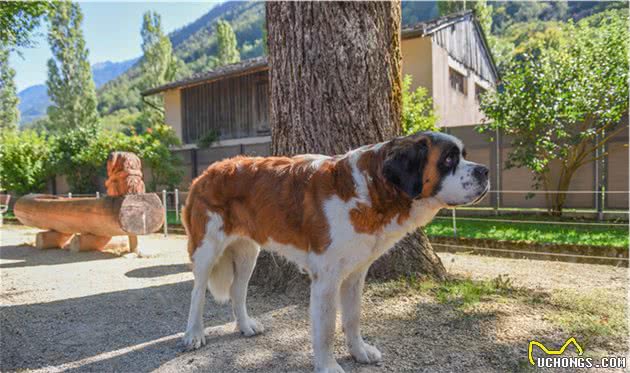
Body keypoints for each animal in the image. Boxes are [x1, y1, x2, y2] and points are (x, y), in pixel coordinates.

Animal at [180, 132, 492, 372]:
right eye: (449, 159)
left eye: (463, 155)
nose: (485, 170)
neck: (372, 189)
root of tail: (207, 172)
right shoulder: (326, 280)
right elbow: (327, 329)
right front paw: (328, 365)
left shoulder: (355, 274)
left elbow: (353, 317)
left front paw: (359, 352)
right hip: (206, 248)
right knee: (197, 293)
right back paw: (194, 334)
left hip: (248, 253)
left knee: (238, 290)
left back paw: (245, 326)